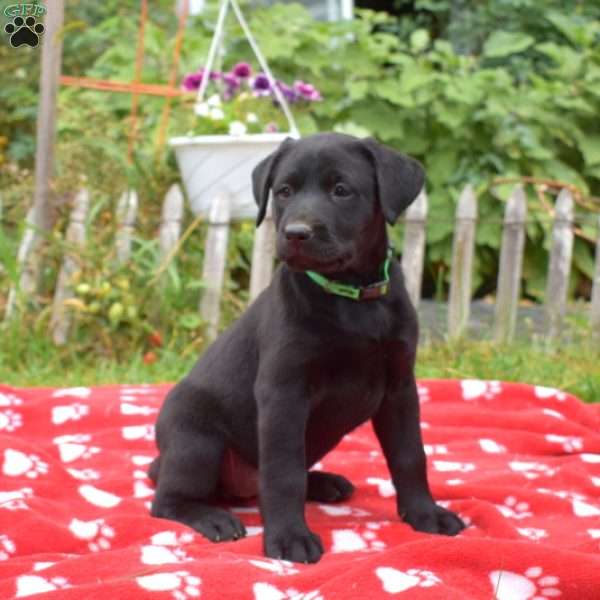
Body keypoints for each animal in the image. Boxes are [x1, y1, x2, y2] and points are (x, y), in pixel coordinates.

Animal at [148, 131, 466, 564]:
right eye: (284, 191)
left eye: (341, 190)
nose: (296, 233)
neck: (350, 297)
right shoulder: (284, 393)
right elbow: (283, 473)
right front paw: (288, 537)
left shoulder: (400, 388)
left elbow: (410, 456)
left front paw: (424, 514)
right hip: (195, 442)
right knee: (167, 500)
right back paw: (214, 519)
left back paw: (325, 483)